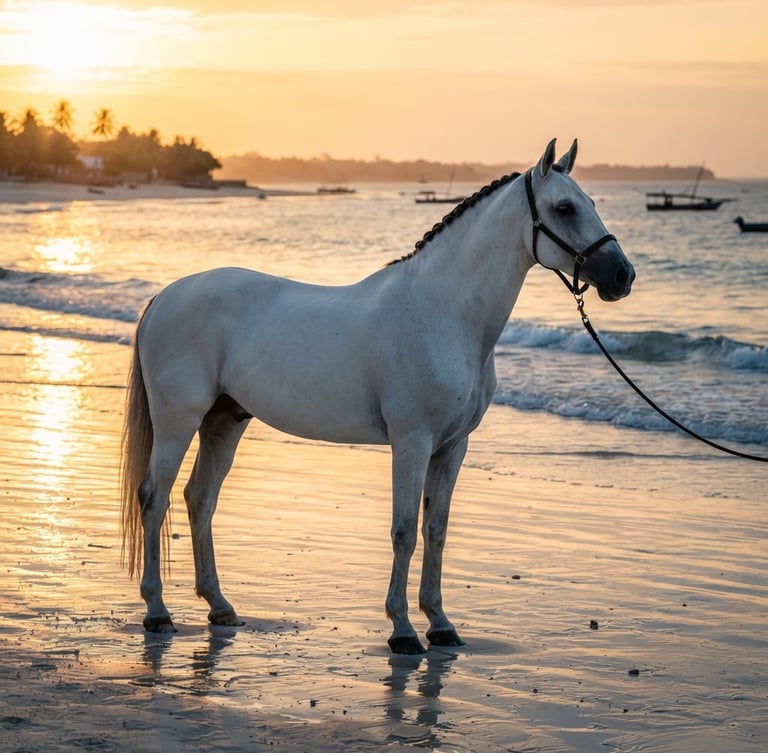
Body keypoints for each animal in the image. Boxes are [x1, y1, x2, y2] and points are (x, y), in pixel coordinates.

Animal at [121, 139, 635, 655]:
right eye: (564, 208)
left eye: (592, 202)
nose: (622, 275)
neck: (442, 313)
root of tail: (165, 296)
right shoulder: (412, 442)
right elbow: (404, 531)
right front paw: (403, 630)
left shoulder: (452, 447)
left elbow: (436, 529)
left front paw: (440, 624)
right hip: (178, 420)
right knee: (155, 497)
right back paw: (157, 613)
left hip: (224, 420)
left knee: (200, 498)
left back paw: (219, 606)